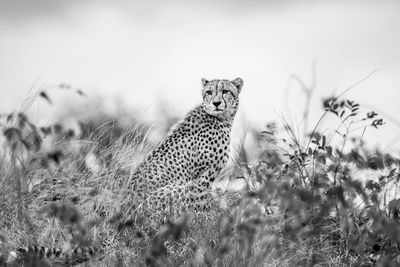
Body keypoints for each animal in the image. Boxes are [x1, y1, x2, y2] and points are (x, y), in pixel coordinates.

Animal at [126, 77, 242, 216]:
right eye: (209, 92)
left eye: (225, 91)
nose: (216, 103)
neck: (221, 118)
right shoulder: (203, 175)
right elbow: (202, 198)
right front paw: (208, 214)